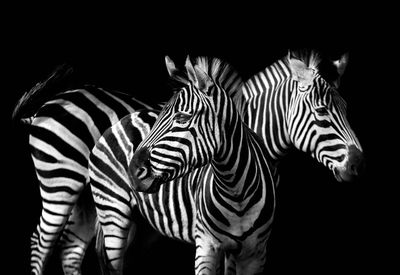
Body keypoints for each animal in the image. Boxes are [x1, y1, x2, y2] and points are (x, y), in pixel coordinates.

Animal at [89, 49, 364, 274]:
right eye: (322, 111)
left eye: (346, 107)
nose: (358, 164)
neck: (235, 185)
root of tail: (125, 118)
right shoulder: (207, 245)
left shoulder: (252, 250)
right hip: (113, 211)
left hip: (145, 223)